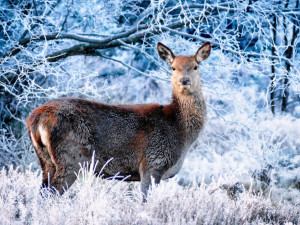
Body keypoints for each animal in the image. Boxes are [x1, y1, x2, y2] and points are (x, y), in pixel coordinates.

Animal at [26, 41, 211, 201]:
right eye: (173, 67)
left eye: (195, 66)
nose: (184, 81)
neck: (179, 130)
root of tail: (35, 119)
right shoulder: (152, 163)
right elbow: (145, 200)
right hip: (71, 157)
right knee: (52, 193)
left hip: (46, 160)